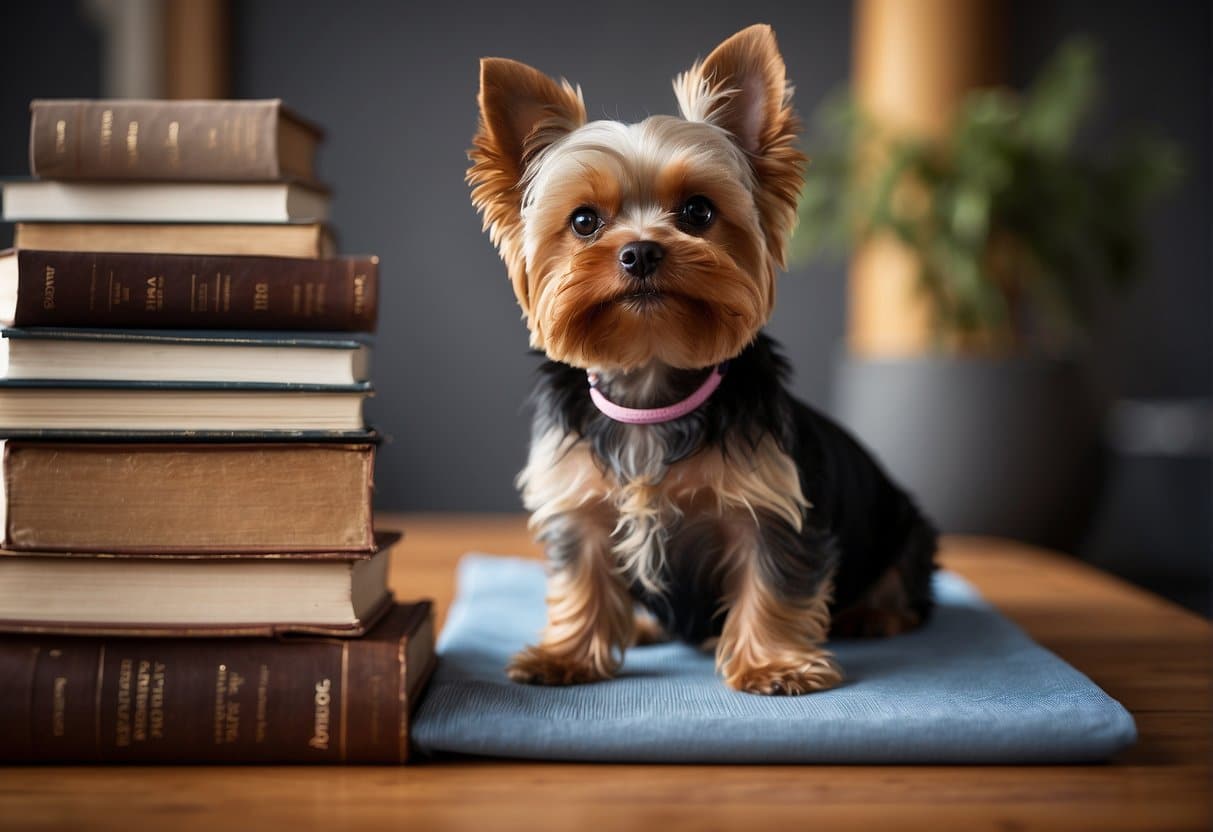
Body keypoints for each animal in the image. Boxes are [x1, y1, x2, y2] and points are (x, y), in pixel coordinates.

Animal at [468, 22, 931, 693]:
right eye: (583, 221)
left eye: (697, 211)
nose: (639, 251)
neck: (651, 385)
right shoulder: (578, 504)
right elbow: (581, 580)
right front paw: (567, 655)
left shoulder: (772, 505)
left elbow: (773, 582)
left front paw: (774, 664)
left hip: (906, 525)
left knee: (905, 582)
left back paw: (874, 614)